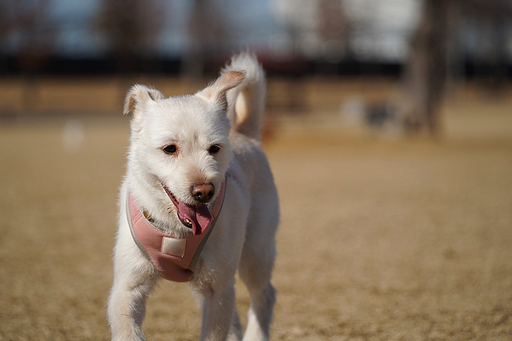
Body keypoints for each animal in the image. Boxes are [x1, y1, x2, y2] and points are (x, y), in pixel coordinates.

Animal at [107, 53, 280, 340]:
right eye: (169, 148)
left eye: (214, 148)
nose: (204, 191)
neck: (176, 231)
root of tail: (245, 134)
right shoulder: (128, 286)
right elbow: (127, 330)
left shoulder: (216, 288)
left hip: (255, 253)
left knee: (264, 296)